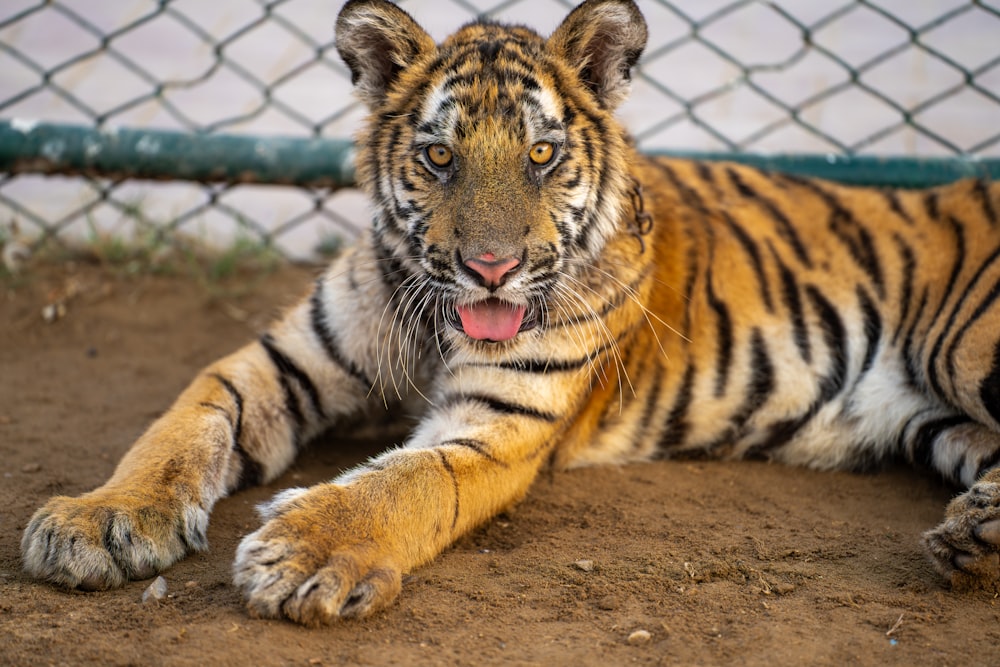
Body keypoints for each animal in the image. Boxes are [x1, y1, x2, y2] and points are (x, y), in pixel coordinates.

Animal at [17, 0, 1000, 628]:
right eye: (439, 156)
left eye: (540, 154)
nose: (490, 268)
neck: (437, 319)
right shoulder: (280, 357)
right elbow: (179, 426)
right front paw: (99, 521)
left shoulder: (502, 423)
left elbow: (406, 483)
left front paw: (298, 552)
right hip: (938, 423)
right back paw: (974, 536)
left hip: (967, 354)